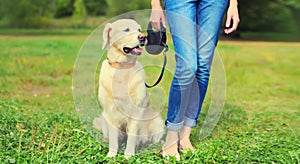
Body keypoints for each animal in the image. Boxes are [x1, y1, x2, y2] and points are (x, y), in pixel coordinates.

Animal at [93, 19, 164, 159]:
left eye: (139, 30)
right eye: (126, 30)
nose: (143, 37)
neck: (122, 67)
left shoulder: (135, 112)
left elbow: (131, 137)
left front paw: (129, 155)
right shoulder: (110, 112)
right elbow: (113, 139)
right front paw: (111, 155)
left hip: (157, 122)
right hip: (103, 117)